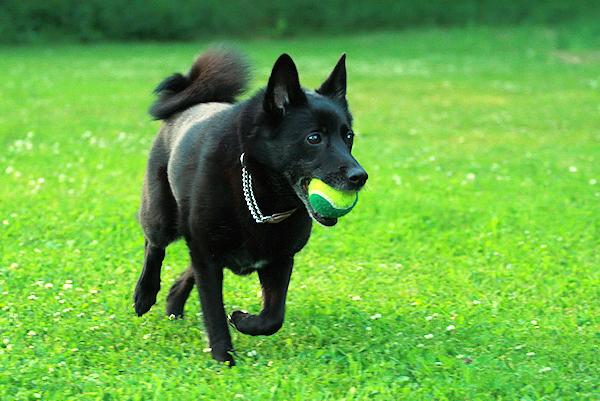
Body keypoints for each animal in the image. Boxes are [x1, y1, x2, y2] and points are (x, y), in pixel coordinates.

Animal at [132, 47, 366, 366]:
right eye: (314, 138)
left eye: (348, 136)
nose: (360, 177)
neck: (261, 194)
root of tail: (191, 102)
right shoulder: (209, 258)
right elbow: (214, 313)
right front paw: (224, 357)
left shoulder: (278, 259)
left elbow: (273, 317)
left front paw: (243, 321)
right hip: (161, 215)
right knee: (154, 244)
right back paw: (144, 295)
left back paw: (174, 303)